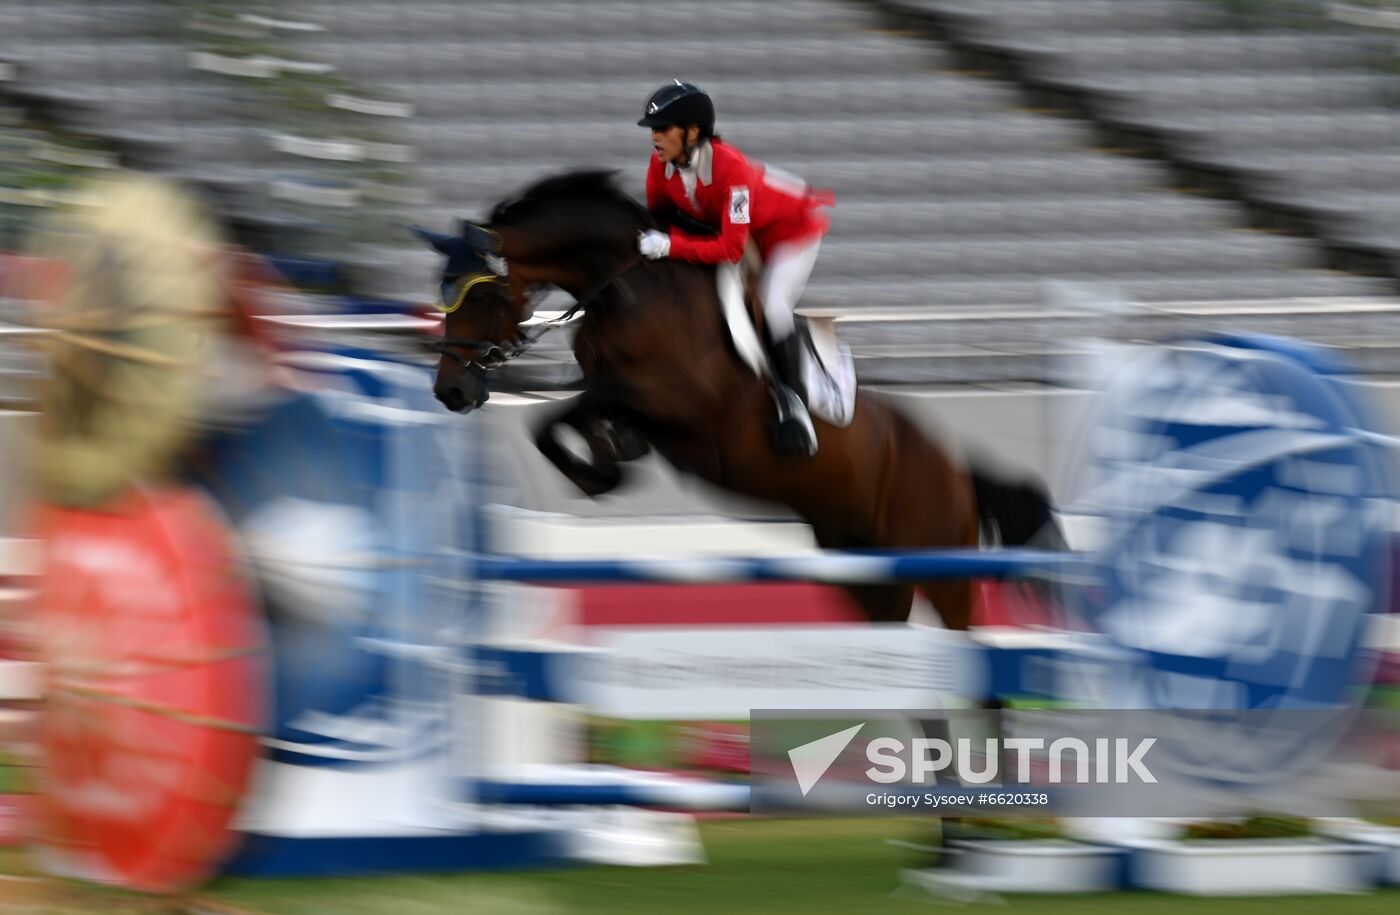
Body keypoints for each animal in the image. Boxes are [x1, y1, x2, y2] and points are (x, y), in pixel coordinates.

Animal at [417, 169, 1058, 632]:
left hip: (940, 563)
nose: (451, 391)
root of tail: (956, 468)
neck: (630, 290)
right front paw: (607, 460)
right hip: (862, 567)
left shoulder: (681, 400)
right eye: (442, 295)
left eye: (482, 298)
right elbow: (559, 420)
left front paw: (605, 468)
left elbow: (572, 406)